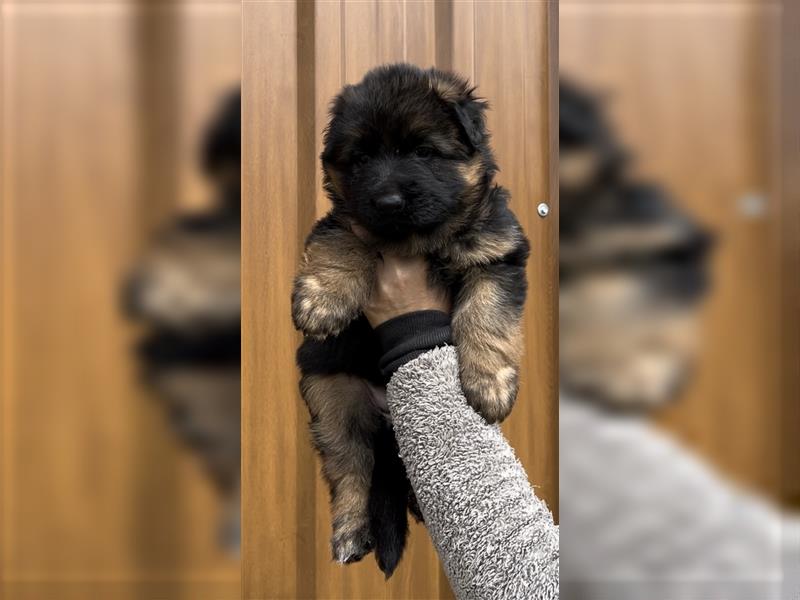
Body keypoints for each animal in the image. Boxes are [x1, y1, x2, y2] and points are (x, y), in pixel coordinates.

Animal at [290, 64, 528, 576]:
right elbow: (347, 239)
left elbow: (487, 313)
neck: (416, 241)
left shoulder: (497, 253)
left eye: (423, 151)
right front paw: (323, 300)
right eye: (361, 159)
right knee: (351, 468)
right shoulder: (344, 219)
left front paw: (489, 382)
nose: (389, 201)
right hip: (332, 398)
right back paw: (351, 531)